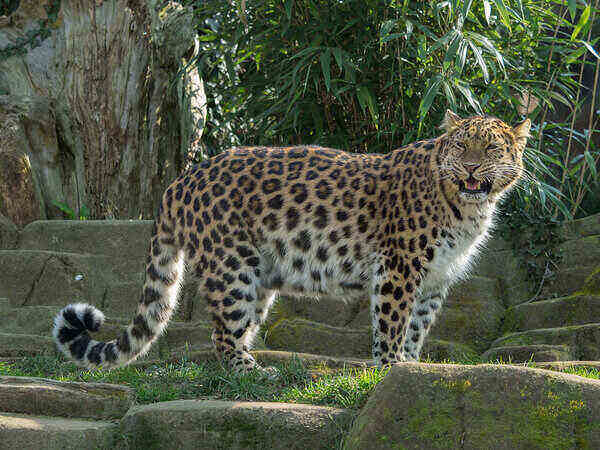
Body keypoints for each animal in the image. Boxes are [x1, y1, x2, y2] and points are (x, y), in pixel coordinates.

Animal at [51, 110, 528, 372]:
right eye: (462, 146)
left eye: (489, 149)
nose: (470, 168)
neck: (467, 208)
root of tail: (180, 181)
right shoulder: (399, 268)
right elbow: (393, 323)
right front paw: (390, 367)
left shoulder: (435, 278)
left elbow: (417, 326)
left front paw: (409, 367)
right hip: (232, 267)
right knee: (222, 335)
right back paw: (253, 374)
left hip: (260, 276)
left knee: (238, 328)